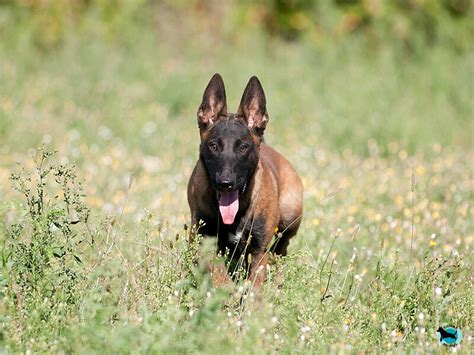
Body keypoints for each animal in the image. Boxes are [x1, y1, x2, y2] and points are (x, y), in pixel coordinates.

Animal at [187, 73, 302, 288]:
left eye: (243, 147)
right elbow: (220, 276)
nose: (226, 183)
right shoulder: (205, 244)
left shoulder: (258, 251)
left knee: (281, 251)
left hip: (290, 217)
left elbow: (254, 285)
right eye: (214, 146)